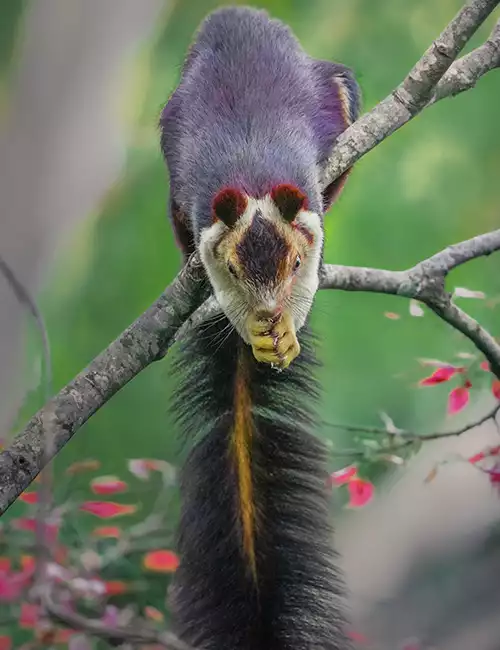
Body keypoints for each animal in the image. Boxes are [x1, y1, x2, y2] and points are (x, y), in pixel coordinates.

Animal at [160, 6, 360, 648]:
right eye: (232, 268)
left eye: (293, 264)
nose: (269, 314)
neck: (250, 174)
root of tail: (235, 14)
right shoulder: (202, 224)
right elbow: (212, 274)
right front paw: (253, 332)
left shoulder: (310, 222)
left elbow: (317, 253)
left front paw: (287, 331)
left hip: (338, 90)